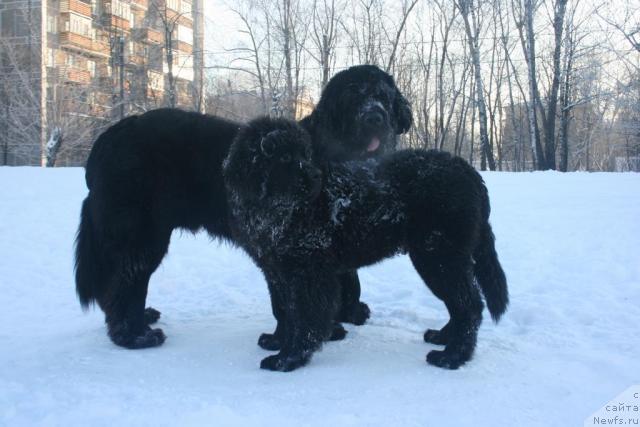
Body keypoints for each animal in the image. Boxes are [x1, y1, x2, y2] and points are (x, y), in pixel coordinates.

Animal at [76, 64, 416, 352]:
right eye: (354, 96)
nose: (374, 118)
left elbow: (349, 279)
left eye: (382, 97)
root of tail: (112, 134)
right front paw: (329, 329)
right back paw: (135, 336)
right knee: (126, 283)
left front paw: (349, 313)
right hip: (141, 234)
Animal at [222, 117, 508, 372]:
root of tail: (471, 174)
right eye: (284, 158)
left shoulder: (308, 271)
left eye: (305, 154)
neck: (278, 211)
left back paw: (452, 357)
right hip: (440, 258)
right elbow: (283, 309)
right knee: (460, 304)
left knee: (469, 305)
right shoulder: (275, 270)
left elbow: (305, 316)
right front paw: (277, 340)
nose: (315, 176)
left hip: (438, 256)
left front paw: (288, 358)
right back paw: (444, 338)